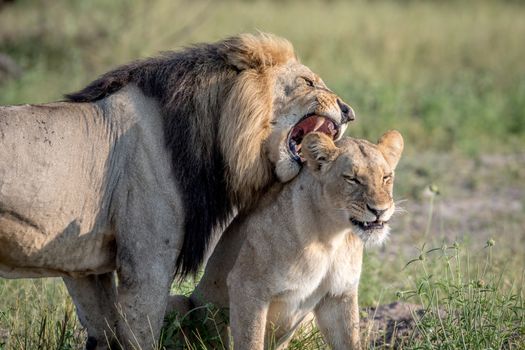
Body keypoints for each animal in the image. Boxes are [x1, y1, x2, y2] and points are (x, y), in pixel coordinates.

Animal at [0, 33, 354, 350]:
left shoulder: (84, 266)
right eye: (308, 82)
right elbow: (140, 336)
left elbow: (104, 333)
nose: (349, 111)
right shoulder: (147, 262)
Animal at [166, 131, 404, 350]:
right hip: (178, 303)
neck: (331, 237)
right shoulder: (247, 286)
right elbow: (251, 341)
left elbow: (350, 341)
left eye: (386, 177)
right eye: (352, 179)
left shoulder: (339, 295)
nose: (380, 210)